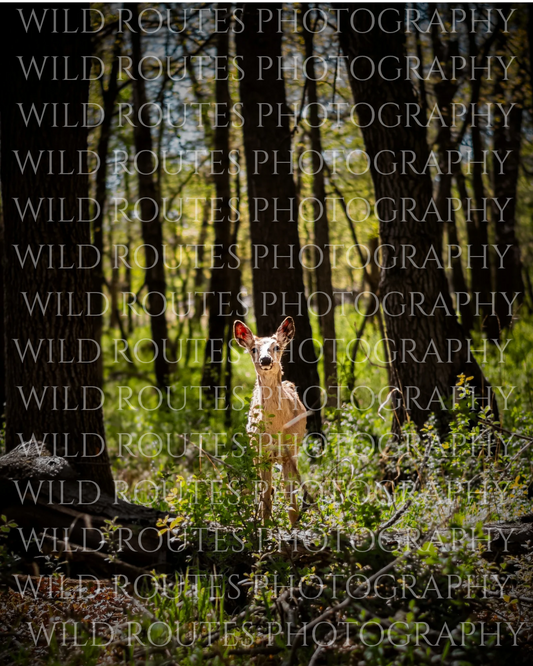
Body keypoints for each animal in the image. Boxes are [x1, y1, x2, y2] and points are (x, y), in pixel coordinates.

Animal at [234, 316, 308, 527]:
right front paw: (265, 528)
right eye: (253, 349)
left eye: (276, 347)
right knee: (261, 490)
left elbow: (291, 499)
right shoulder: (263, 453)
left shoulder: (290, 451)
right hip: (254, 451)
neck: (277, 428)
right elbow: (266, 497)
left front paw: (294, 528)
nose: (265, 360)